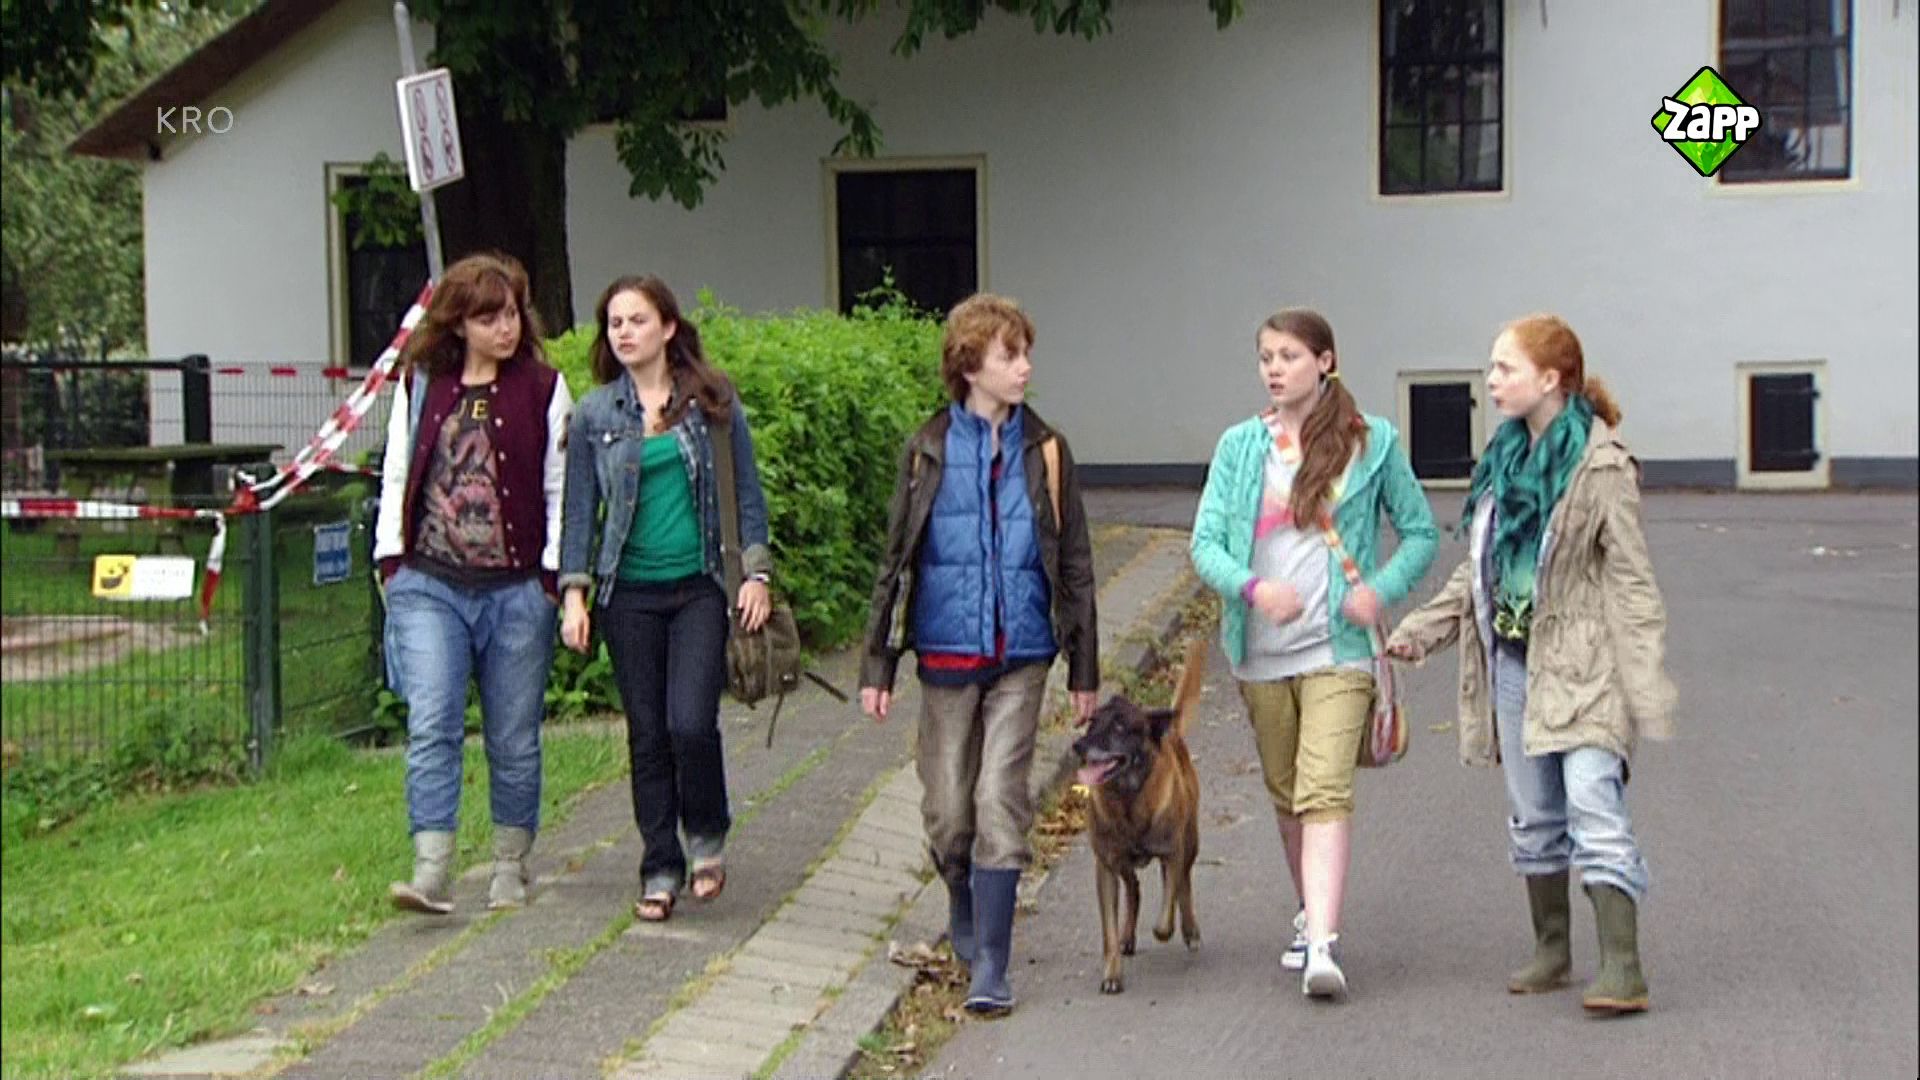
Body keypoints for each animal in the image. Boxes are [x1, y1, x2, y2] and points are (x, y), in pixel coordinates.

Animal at [1071, 637, 1208, 994]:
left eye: (1120, 726)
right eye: (1092, 722)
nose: (1078, 746)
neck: (1128, 800)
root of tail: (1170, 732)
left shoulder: (1172, 852)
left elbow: (1166, 911)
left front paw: (1168, 930)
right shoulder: (1106, 867)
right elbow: (1108, 930)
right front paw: (1112, 973)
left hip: (1190, 842)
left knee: (1183, 883)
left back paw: (1190, 929)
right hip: (1122, 864)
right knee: (1134, 889)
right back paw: (1128, 936)